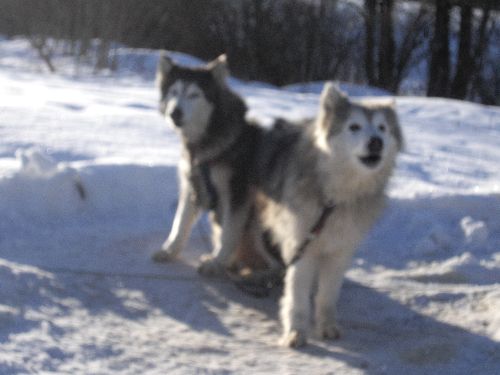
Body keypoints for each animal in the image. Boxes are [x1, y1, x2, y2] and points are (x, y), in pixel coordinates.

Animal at [254, 83, 402, 348]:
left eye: (382, 128)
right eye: (354, 126)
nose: (376, 142)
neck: (334, 198)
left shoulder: (339, 251)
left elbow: (328, 295)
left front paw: (327, 326)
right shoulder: (302, 247)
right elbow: (297, 297)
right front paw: (295, 332)